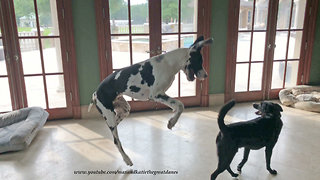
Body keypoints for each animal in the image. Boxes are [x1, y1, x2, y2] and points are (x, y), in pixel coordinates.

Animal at [88, 35, 212, 166]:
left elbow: (178, 106)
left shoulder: (160, 95)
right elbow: (180, 105)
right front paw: (172, 122)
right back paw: (126, 158)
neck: (169, 63)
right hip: (110, 115)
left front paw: (173, 120)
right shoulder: (156, 95)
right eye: (200, 61)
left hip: (123, 111)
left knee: (115, 130)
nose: (206, 75)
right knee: (116, 141)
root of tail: (96, 93)